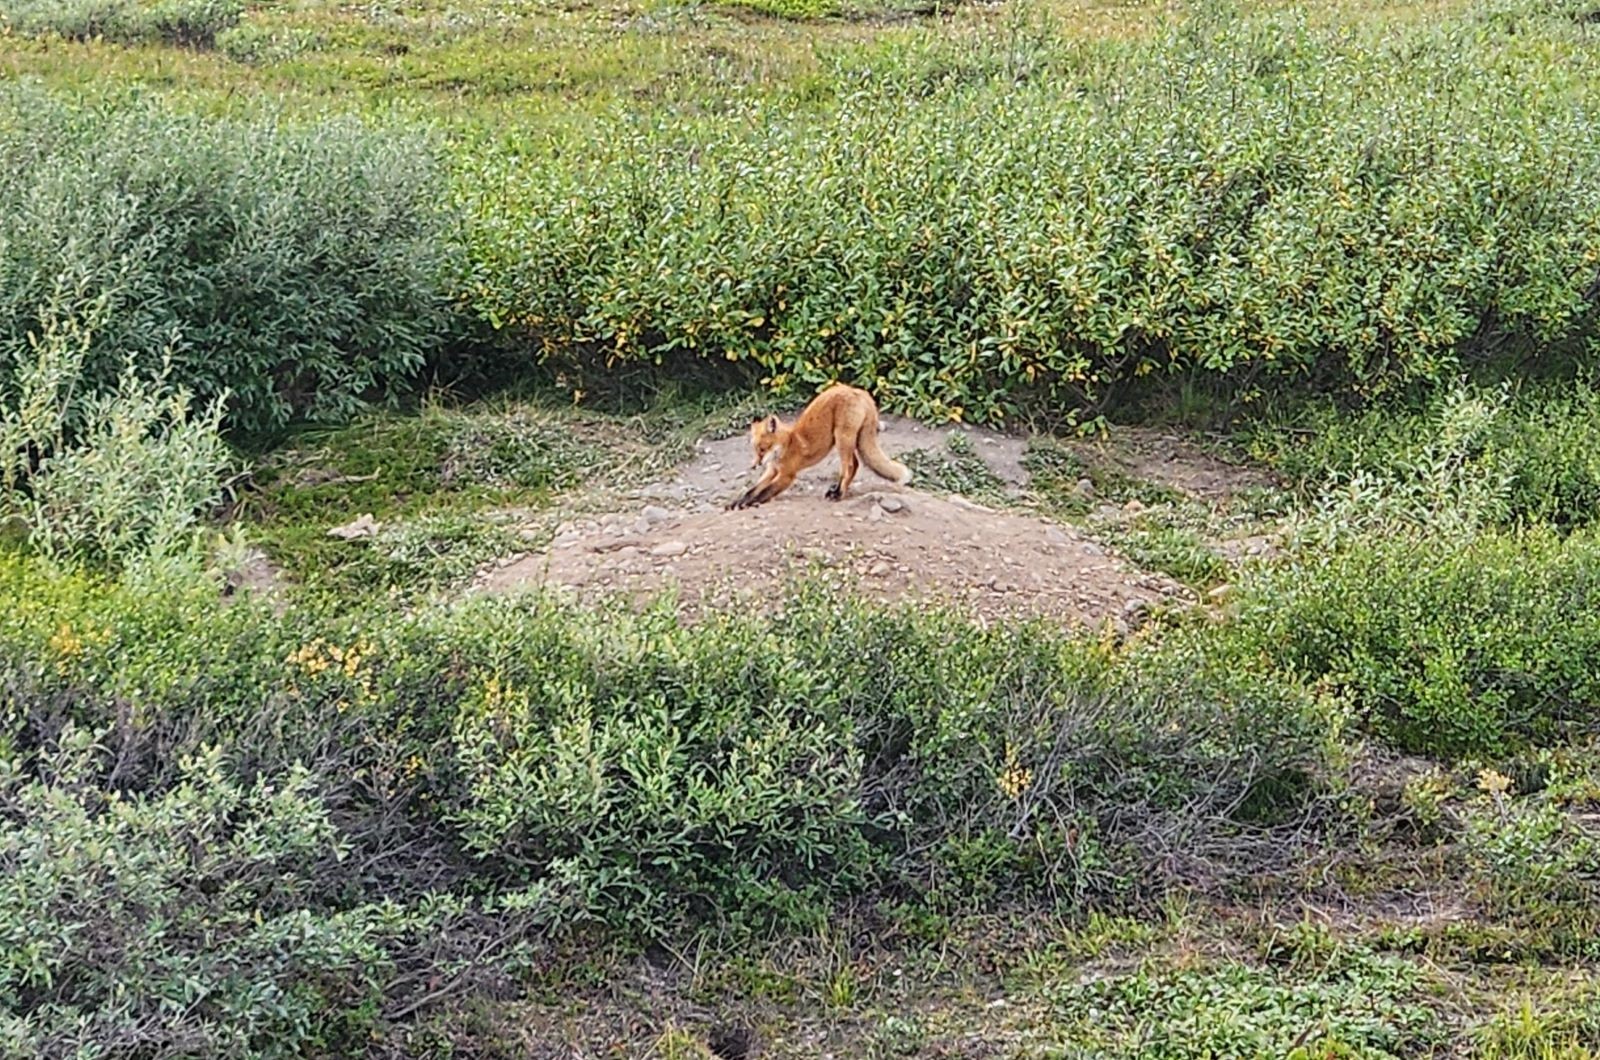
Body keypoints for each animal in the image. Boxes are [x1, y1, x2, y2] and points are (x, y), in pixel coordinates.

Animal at [728, 384, 912, 510]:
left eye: (762, 448)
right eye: (755, 449)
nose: (754, 465)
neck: (787, 444)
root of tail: (859, 391)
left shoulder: (787, 475)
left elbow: (765, 492)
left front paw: (750, 503)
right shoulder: (771, 470)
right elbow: (752, 490)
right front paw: (738, 502)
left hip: (842, 438)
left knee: (849, 467)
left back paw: (838, 494)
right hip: (847, 441)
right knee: (856, 465)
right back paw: (840, 491)